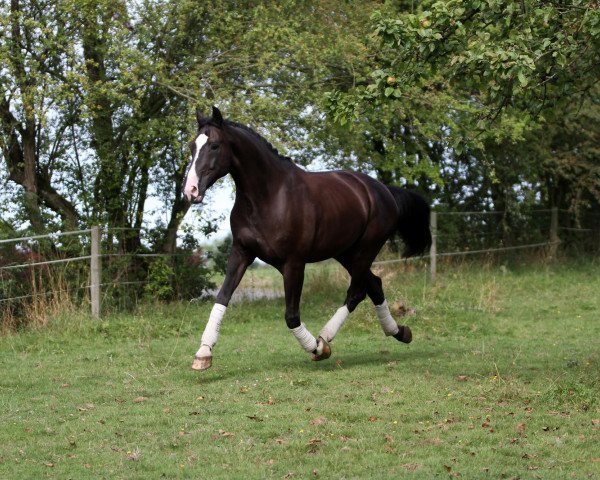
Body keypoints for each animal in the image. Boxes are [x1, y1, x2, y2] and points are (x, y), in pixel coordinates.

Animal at [183, 108, 432, 372]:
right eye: (192, 146)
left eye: (214, 145)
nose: (190, 190)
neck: (269, 196)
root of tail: (384, 191)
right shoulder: (241, 253)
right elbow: (222, 298)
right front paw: (203, 354)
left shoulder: (294, 263)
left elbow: (291, 316)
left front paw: (318, 349)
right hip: (346, 253)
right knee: (374, 284)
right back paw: (400, 332)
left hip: (365, 250)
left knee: (357, 292)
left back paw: (326, 338)